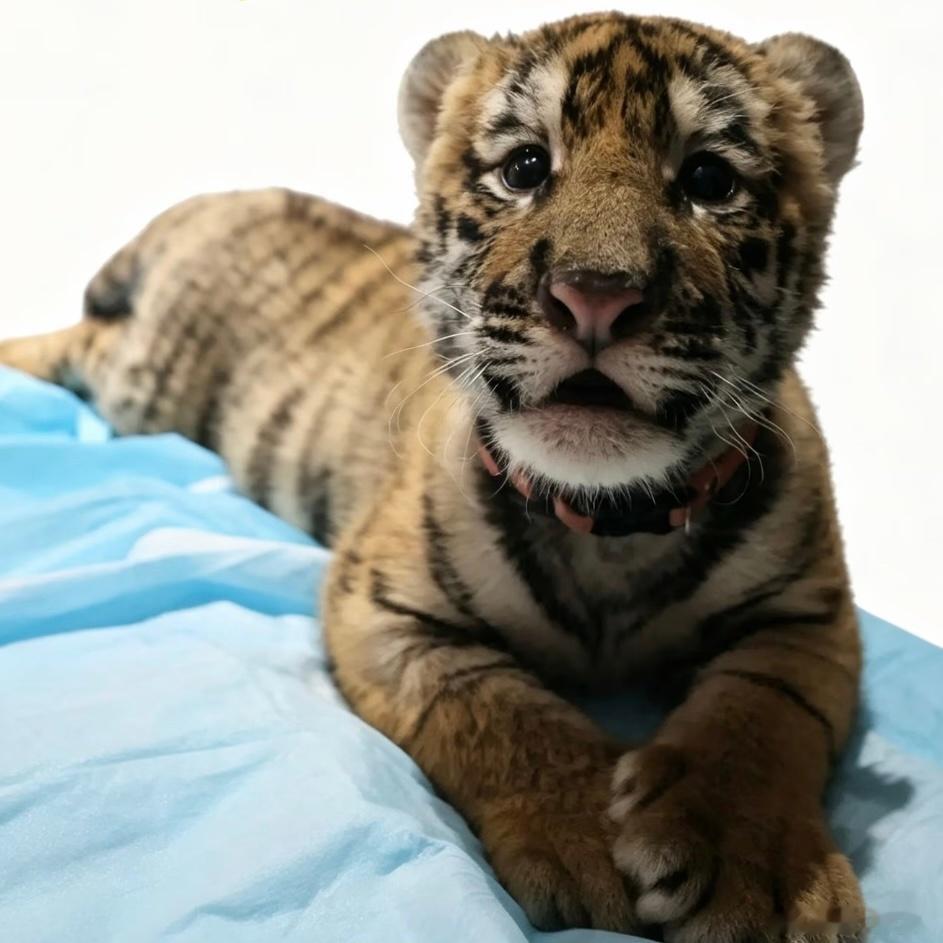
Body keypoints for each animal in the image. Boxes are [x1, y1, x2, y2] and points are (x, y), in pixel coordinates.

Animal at [0, 11, 866, 941]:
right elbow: (499, 708)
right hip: (139, 381)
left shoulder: (807, 617)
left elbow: (759, 717)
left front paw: (755, 876)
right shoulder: (383, 605)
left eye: (708, 178)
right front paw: (588, 840)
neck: (607, 523)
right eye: (524, 167)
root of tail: (222, 196)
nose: (594, 294)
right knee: (72, 343)